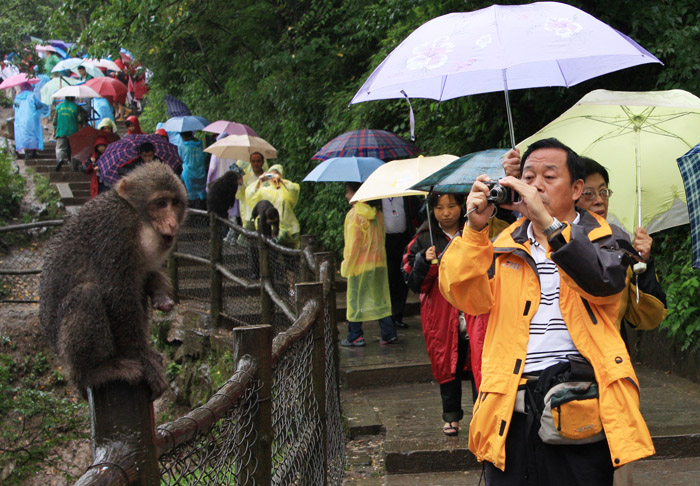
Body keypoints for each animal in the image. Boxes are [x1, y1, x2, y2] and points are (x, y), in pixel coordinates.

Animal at [38, 162, 186, 398]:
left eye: (175, 203)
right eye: (161, 203)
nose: (172, 223)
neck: (137, 217)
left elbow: (143, 277)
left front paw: (160, 293)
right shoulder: (116, 230)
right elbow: (117, 295)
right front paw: (143, 360)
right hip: (66, 353)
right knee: (87, 295)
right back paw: (92, 373)